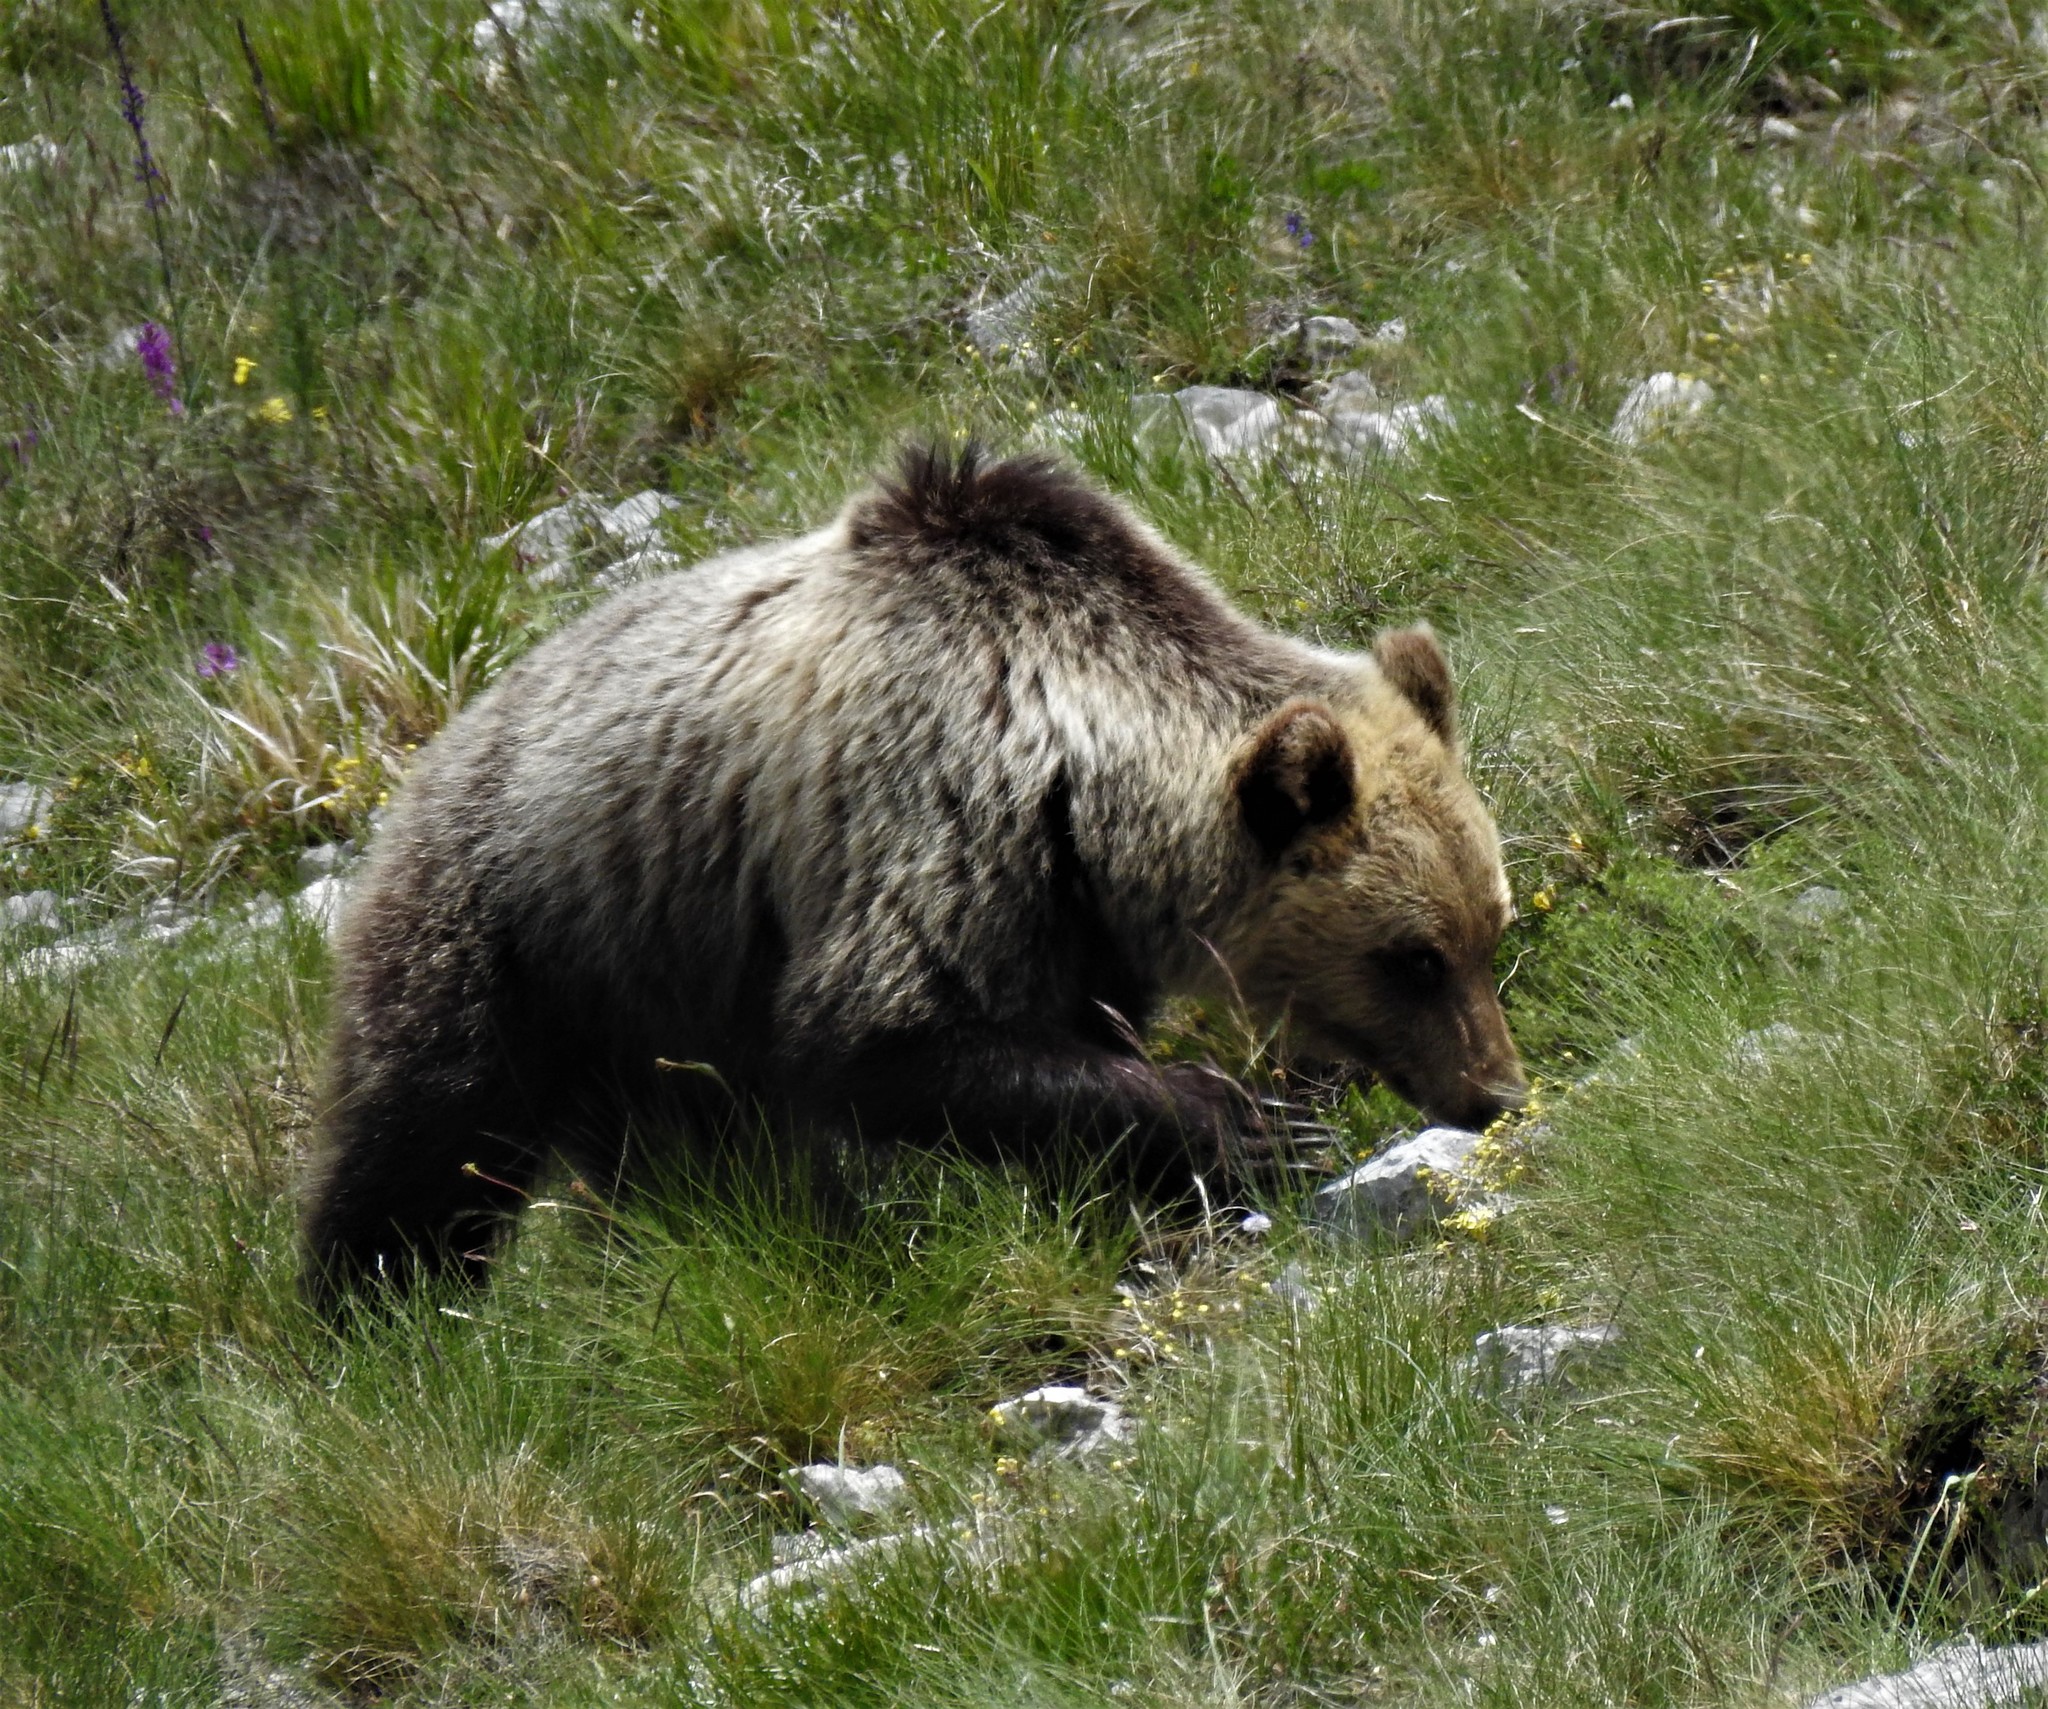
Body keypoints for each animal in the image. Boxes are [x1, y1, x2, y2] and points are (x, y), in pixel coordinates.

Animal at [299, 446, 1523, 1295]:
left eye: (1488, 930)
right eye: (1412, 957)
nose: (1495, 1092)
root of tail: (429, 755)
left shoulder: (1064, 905)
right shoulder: (938, 810)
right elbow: (880, 1034)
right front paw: (1245, 1125)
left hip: (655, 990)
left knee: (688, 1156)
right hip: (518, 928)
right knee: (426, 1136)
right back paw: (376, 1310)